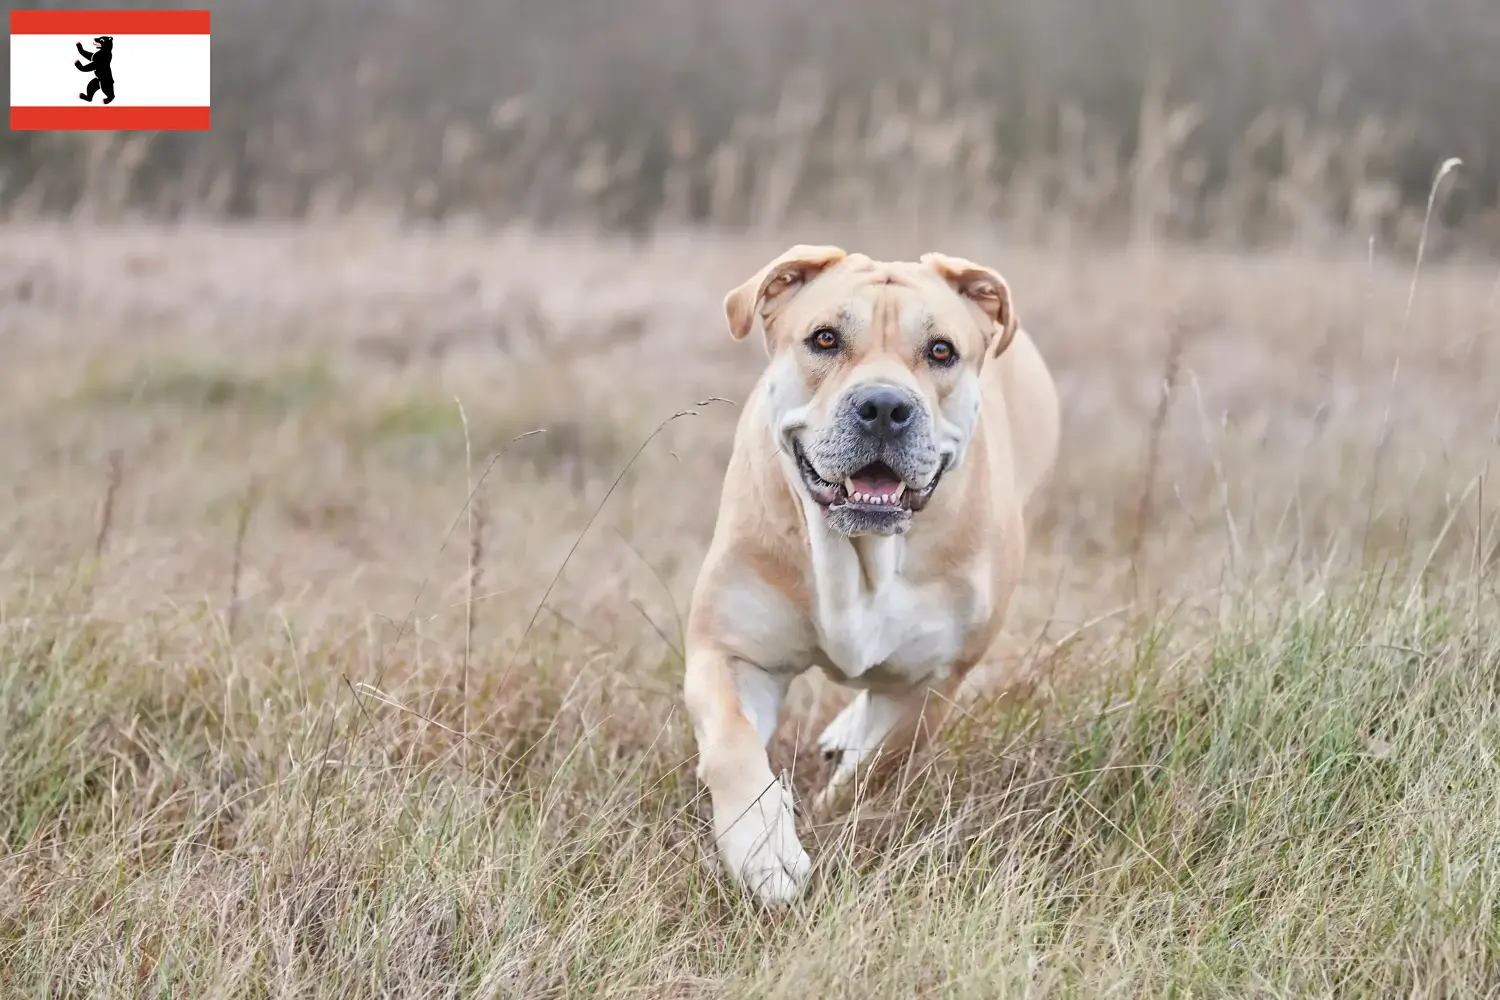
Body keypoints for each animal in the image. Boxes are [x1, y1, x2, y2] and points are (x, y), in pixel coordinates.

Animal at [687, 244, 1062, 905]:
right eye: (825, 338)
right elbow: (732, 744)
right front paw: (765, 849)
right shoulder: (728, 651)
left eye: (941, 350)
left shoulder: (930, 683)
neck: (859, 554)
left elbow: (873, 770)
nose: (885, 407)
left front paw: (827, 814)